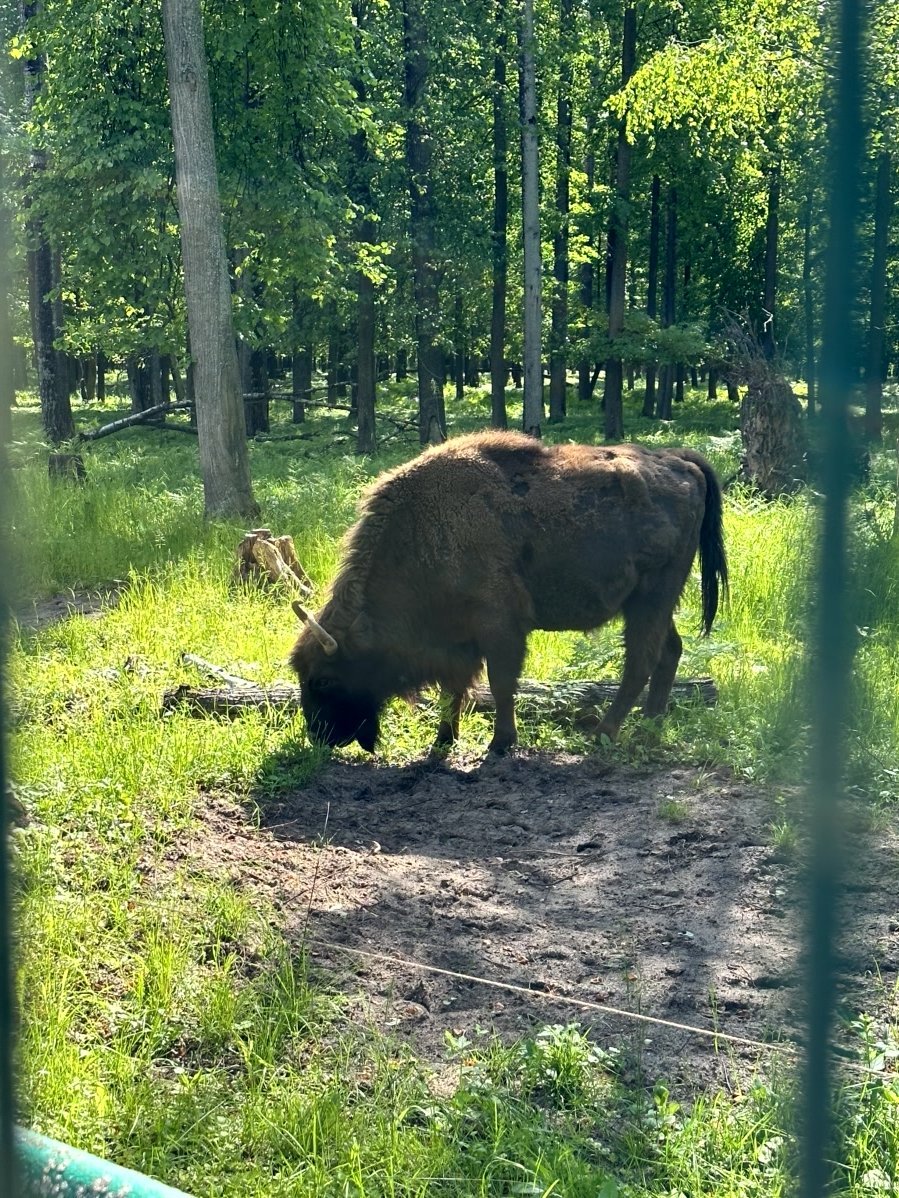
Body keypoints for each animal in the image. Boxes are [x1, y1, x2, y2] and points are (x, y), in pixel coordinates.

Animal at [292, 428, 728, 747]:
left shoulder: (499, 627)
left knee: (641, 660)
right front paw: (444, 740)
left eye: (324, 679)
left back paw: (605, 734)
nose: (319, 736)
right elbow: (455, 688)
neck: (426, 531)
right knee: (669, 651)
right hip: (655, 603)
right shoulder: (459, 640)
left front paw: (500, 742)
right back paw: (650, 728)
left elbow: (500, 683)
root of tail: (678, 461)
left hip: (649, 599)